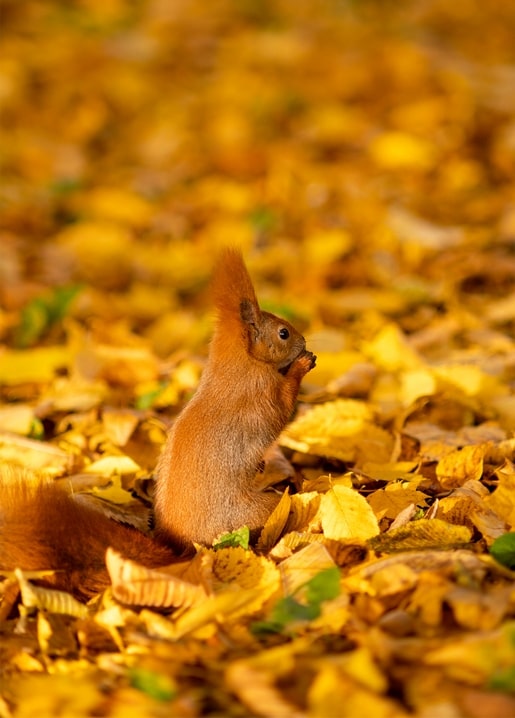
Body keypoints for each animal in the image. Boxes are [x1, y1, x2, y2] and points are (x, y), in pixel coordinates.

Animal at [0, 249, 316, 600]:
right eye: (283, 333)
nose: (303, 340)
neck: (236, 366)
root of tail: (184, 551)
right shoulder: (258, 398)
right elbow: (281, 411)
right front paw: (301, 365)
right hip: (259, 510)